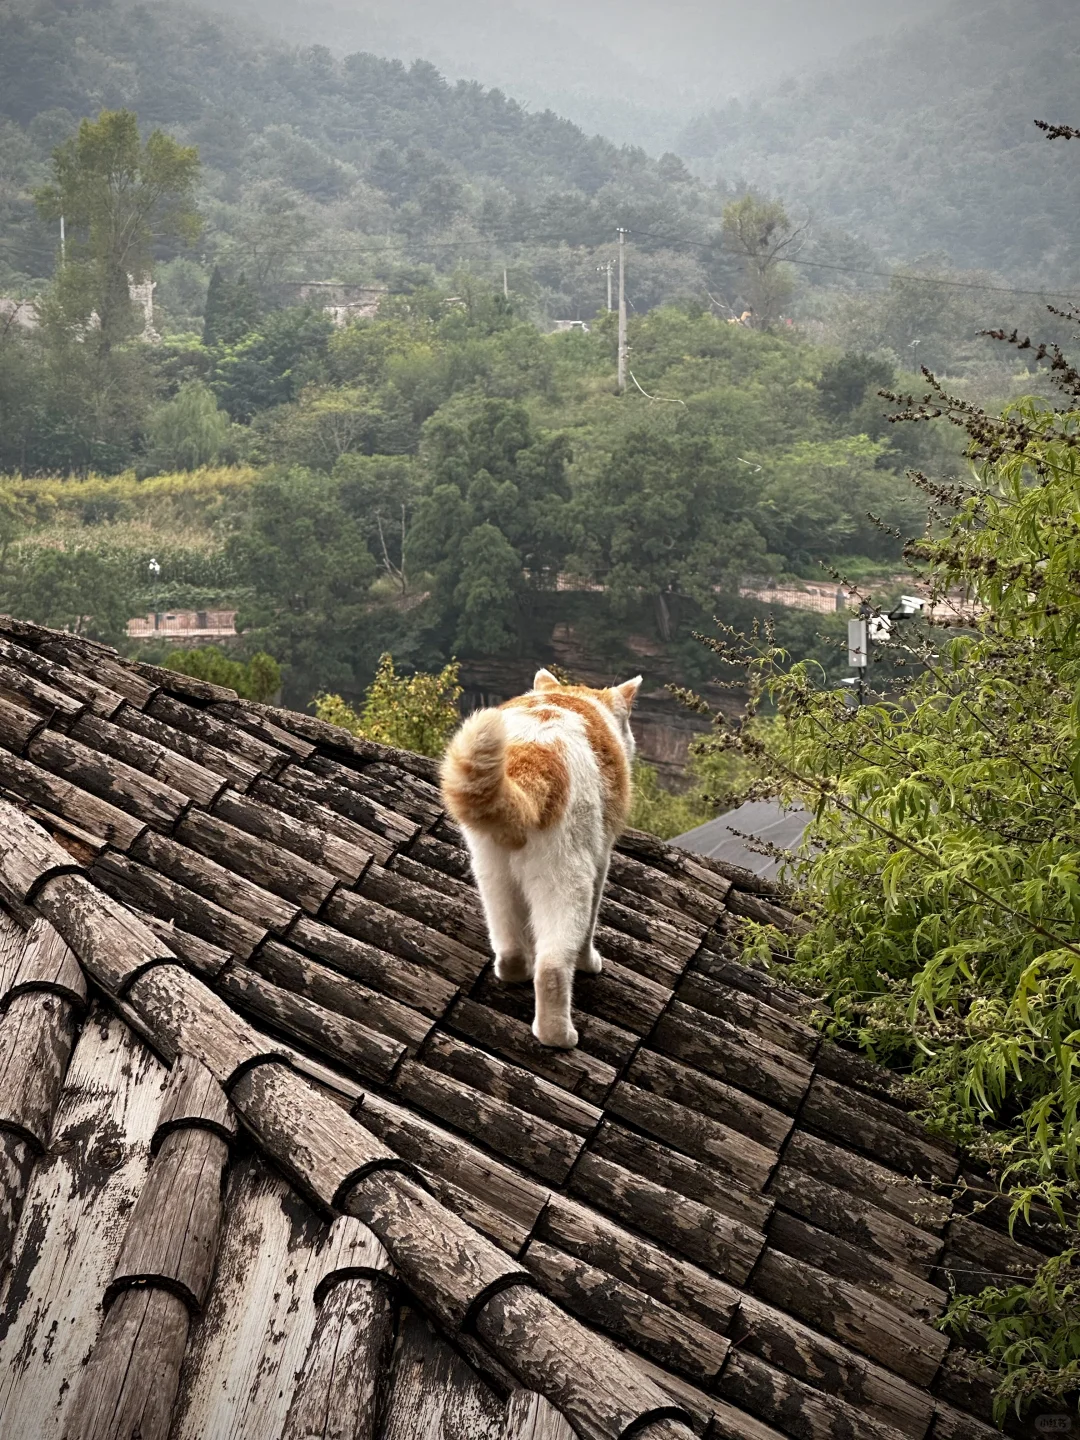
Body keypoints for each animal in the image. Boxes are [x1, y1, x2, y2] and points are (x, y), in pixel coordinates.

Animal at [440, 668, 642, 1054]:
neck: (574, 696)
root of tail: (532, 755)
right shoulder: (601, 860)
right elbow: (591, 924)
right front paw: (589, 962)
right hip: (568, 877)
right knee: (553, 966)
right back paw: (559, 1036)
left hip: (492, 869)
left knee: (509, 943)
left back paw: (515, 971)